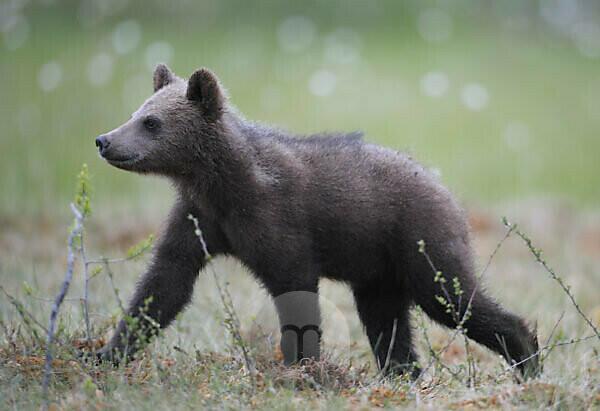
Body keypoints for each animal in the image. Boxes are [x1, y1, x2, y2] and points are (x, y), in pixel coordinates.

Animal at [94, 64, 540, 380]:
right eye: (136, 112)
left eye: (152, 122)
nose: (104, 140)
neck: (222, 184)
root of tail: (443, 187)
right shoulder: (198, 220)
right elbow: (164, 284)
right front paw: (106, 353)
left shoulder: (277, 222)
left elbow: (295, 290)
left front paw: (301, 370)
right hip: (378, 272)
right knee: (388, 324)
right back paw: (403, 374)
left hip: (420, 240)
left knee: (452, 297)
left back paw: (527, 357)